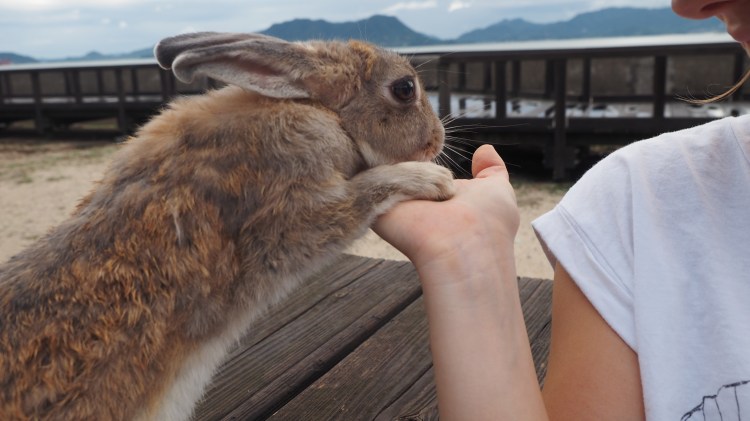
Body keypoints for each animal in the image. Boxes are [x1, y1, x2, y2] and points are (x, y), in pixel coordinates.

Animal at [0, 32, 455, 420]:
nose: (437, 139)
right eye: (404, 89)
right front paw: (431, 180)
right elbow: (361, 196)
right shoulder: (293, 213)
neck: (318, 111)